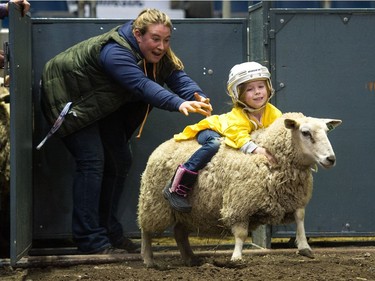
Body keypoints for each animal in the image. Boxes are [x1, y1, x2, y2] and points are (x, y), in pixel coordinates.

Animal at [138, 110, 344, 266]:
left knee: (179, 233)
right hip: (153, 202)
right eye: (305, 132)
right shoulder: (240, 204)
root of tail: (165, 144)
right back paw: (149, 260)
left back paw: (191, 259)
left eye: (326, 131)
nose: (331, 159)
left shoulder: (294, 197)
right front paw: (236, 258)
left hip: (190, 211)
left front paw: (304, 247)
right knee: (146, 230)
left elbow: (300, 218)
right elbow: (241, 233)